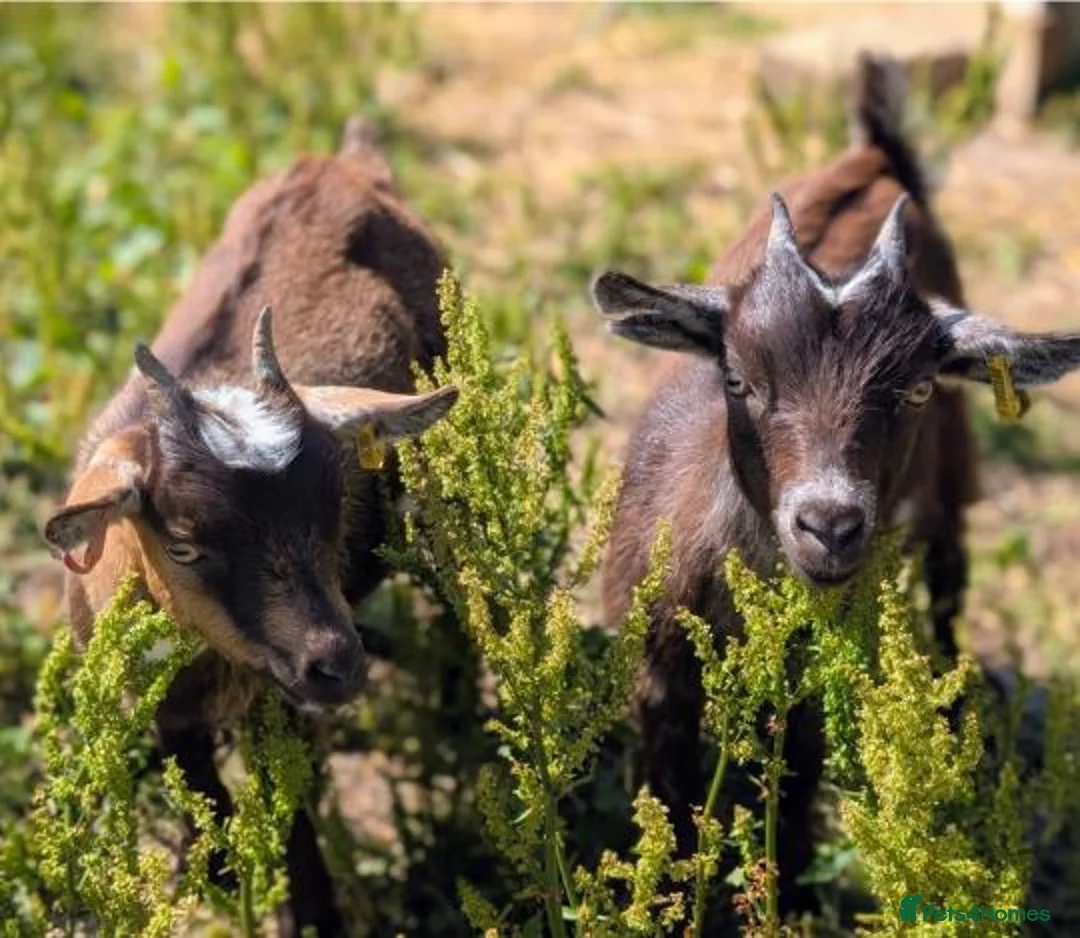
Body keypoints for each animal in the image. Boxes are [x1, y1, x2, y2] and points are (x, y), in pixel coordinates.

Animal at [42, 116, 457, 937]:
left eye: (333, 514)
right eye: (183, 544)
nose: (337, 665)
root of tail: (343, 160)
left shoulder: (281, 704)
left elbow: (291, 815)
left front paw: (313, 917)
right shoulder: (164, 709)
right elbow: (202, 792)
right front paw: (216, 870)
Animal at [590, 54, 1080, 917]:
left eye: (916, 389)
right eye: (738, 379)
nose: (830, 524)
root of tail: (876, 160)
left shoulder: (816, 683)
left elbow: (793, 794)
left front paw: (786, 904)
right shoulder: (651, 674)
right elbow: (670, 806)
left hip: (953, 477)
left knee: (950, 577)